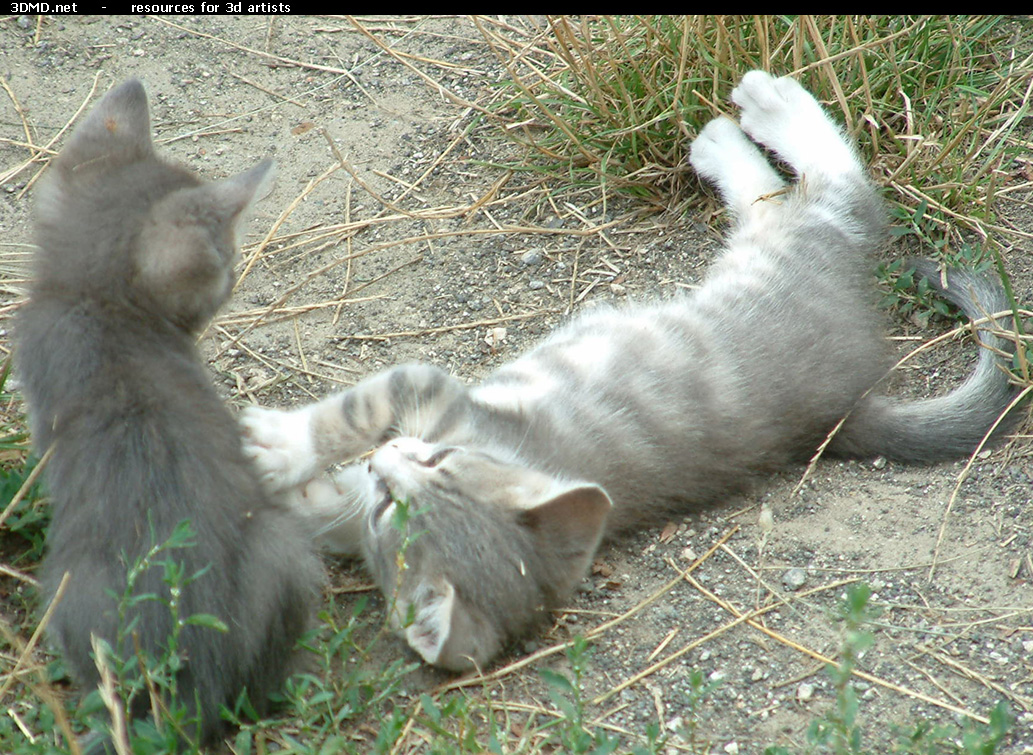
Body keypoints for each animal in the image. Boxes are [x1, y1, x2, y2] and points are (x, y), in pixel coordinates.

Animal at [16, 79, 320, 747]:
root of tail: (182, 681)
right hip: (280, 548)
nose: (232, 283)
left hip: (67, 593)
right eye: (225, 267)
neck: (101, 306)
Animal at [241, 70, 1016, 673]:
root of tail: (850, 404)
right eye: (392, 503)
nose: (391, 462)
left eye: (438, 462)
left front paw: (280, 447)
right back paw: (722, 138)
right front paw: (303, 496)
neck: (505, 452)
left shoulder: (435, 392)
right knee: (768, 195)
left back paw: (761, 108)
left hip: (796, 247)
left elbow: (354, 412)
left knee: (844, 188)